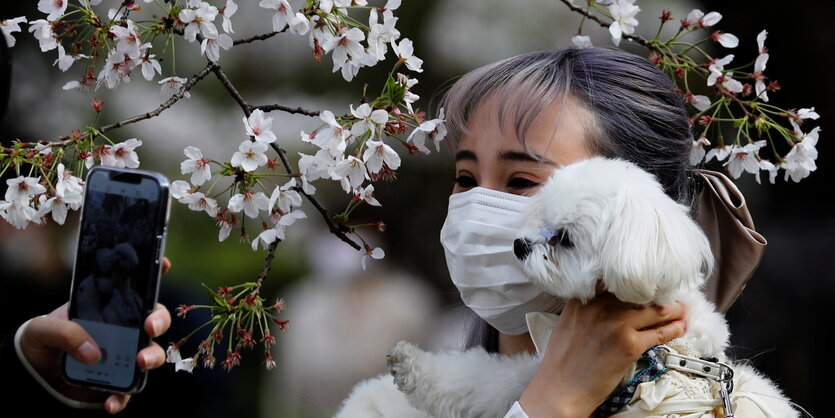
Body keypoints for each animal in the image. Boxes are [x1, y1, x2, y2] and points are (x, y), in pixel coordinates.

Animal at [378, 157, 796, 418]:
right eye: (542, 216)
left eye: (565, 239)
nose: (519, 245)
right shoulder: (542, 375)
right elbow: (482, 379)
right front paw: (410, 363)